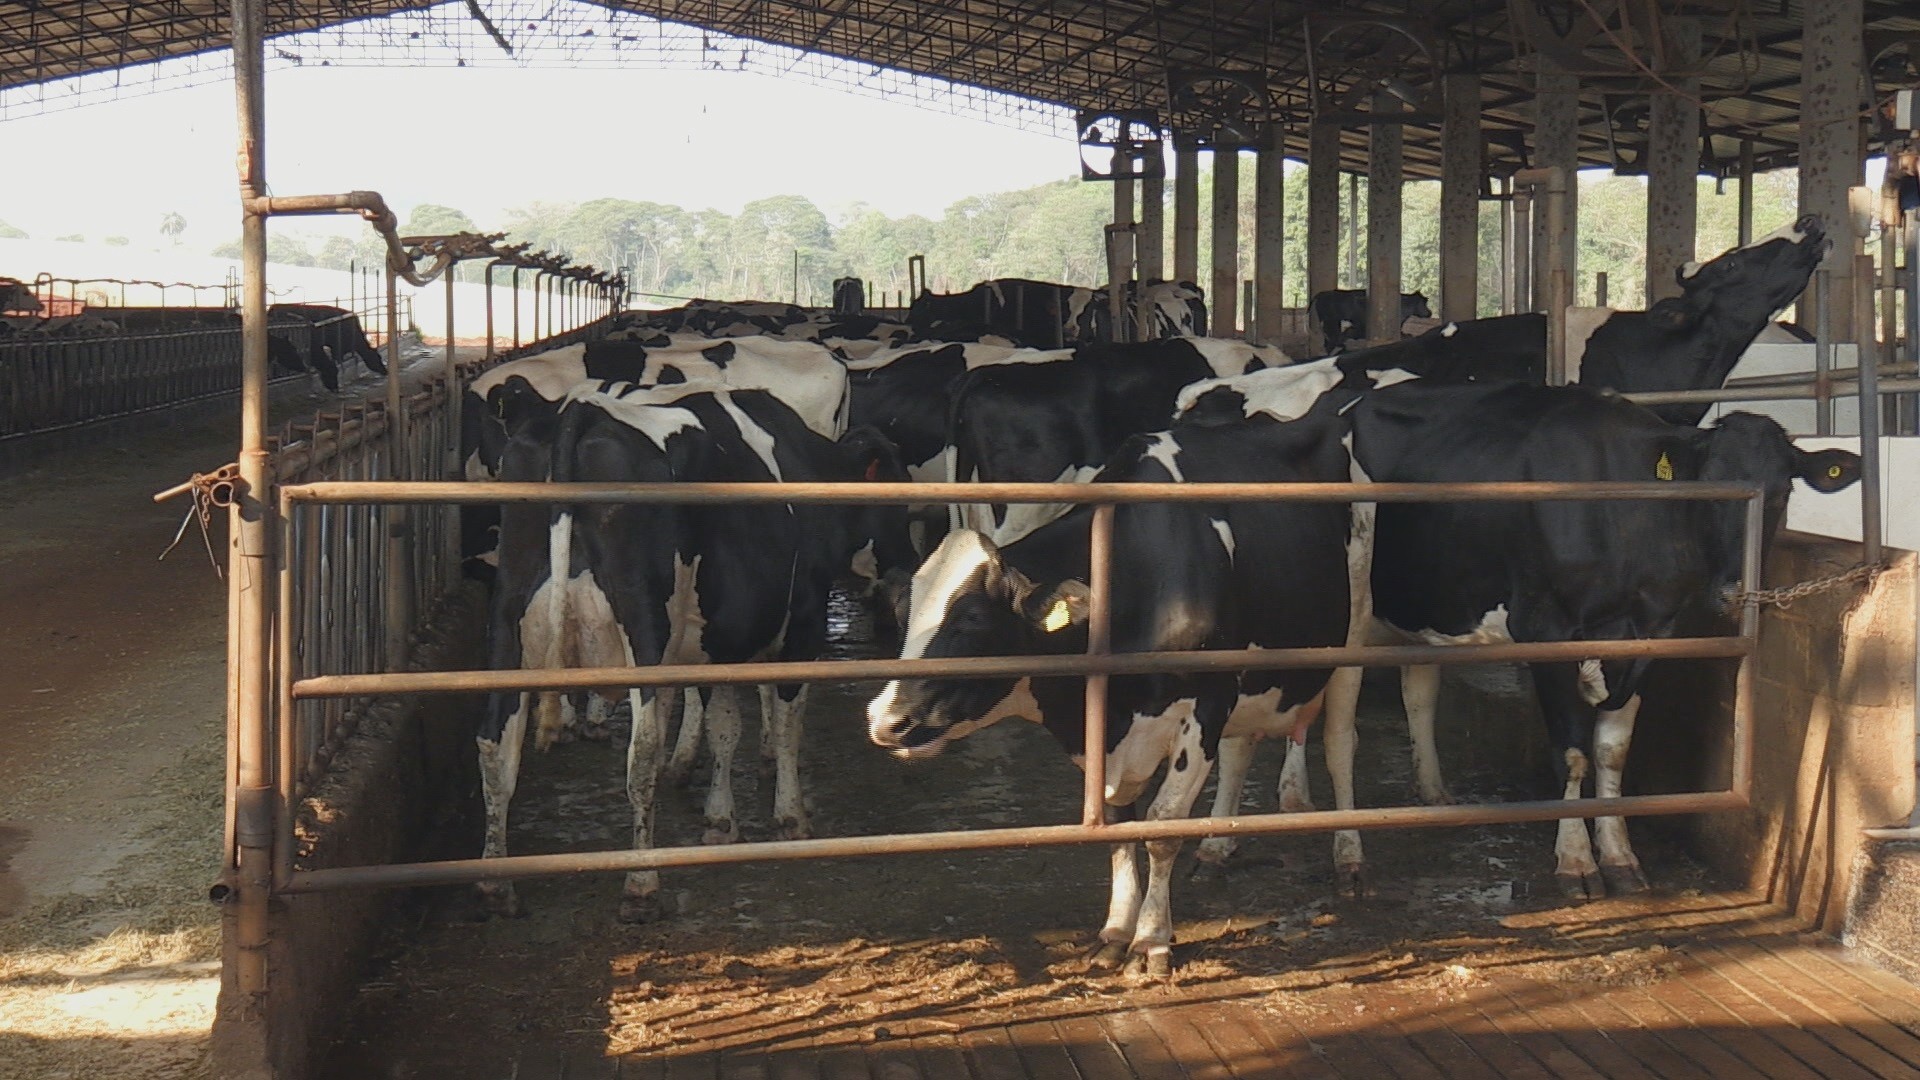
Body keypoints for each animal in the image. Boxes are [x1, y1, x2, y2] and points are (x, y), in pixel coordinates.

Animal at [483, 378, 917, 914]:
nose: (912, 563)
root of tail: (579, 412)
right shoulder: (803, 622)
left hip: (509, 619)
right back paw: (642, 882)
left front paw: (720, 819)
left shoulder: (720, 639)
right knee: (641, 752)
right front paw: (789, 814)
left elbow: (724, 726)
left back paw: (496, 883)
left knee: (495, 743)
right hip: (643, 627)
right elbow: (786, 723)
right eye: (899, 499)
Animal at [871, 388, 1351, 976]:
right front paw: (1117, 932)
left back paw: (1350, 854)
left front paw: (1152, 942)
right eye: (901, 614)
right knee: (1241, 750)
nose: (886, 721)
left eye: (971, 622)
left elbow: (1162, 828)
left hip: (1355, 635)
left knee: (1340, 744)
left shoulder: (1206, 704)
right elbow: (1120, 826)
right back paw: (1218, 845)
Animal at [1167, 365, 1858, 895]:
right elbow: (1573, 751)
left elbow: (1613, 749)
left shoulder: (1650, 633)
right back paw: (1226, 841)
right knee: (1251, 737)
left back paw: (1413, 793)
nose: (1735, 593)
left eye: (1779, 494)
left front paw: (1620, 855)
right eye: (1709, 491)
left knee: (1410, 691)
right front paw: (1577, 863)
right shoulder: (1548, 627)